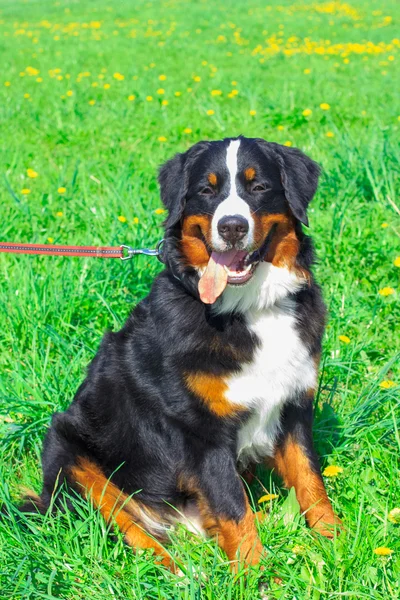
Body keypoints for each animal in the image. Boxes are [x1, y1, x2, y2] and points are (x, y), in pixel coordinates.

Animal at [19, 136, 340, 572]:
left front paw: (337, 540)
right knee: (134, 532)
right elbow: (232, 509)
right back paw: (177, 571)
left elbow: (309, 479)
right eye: (207, 190)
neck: (250, 308)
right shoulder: (201, 431)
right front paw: (257, 576)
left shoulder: (293, 406)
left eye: (259, 187)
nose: (232, 226)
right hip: (70, 453)